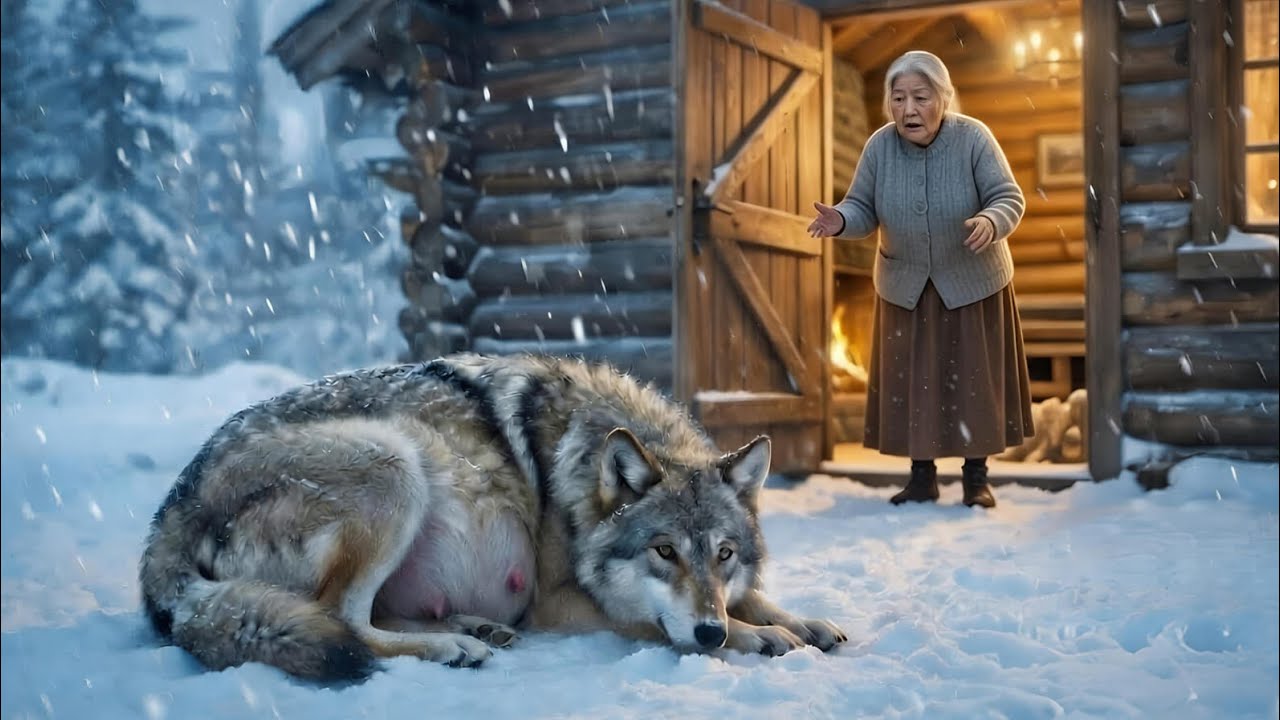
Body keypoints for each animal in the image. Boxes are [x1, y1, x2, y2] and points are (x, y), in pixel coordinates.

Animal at [139, 353, 847, 682]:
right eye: (664, 552)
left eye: (723, 554)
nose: (709, 632)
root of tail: (170, 511)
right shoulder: (558, 602)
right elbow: (651, 622)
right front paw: (755, 637)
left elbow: (757, 598)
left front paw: (800, 622)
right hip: (390, 461)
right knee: (343, 619)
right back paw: (452, 646)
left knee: (356, 614)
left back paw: (475, 628)